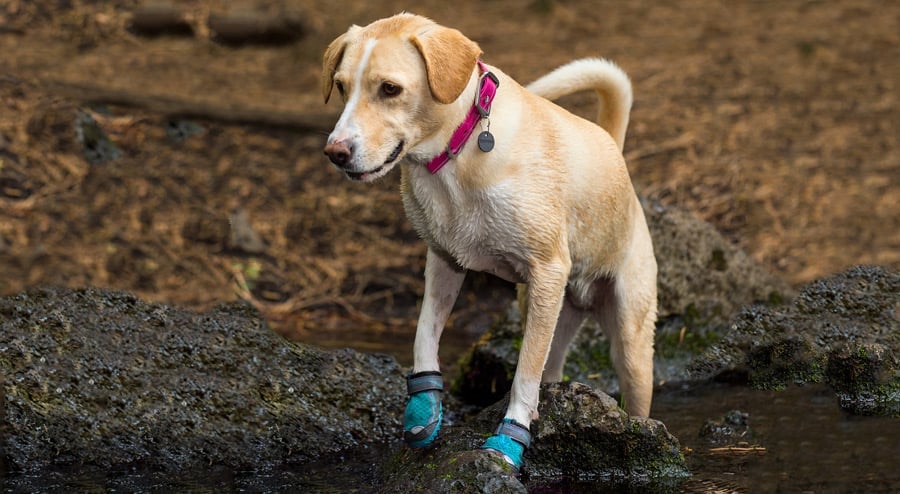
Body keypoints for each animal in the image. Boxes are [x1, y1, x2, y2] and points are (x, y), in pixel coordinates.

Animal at [320, 11, 656, 466]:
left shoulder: (548, 270)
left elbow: (523, 374)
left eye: (389, 88)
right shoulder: (444, 261)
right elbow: (425, 332)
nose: (335, 153)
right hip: (550, 311)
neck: (457, 153)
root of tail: (615, 150)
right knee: (550, 368)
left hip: (629, 342)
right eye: (340, 86)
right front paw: (424, 408)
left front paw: (511, 437)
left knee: (626, 390)